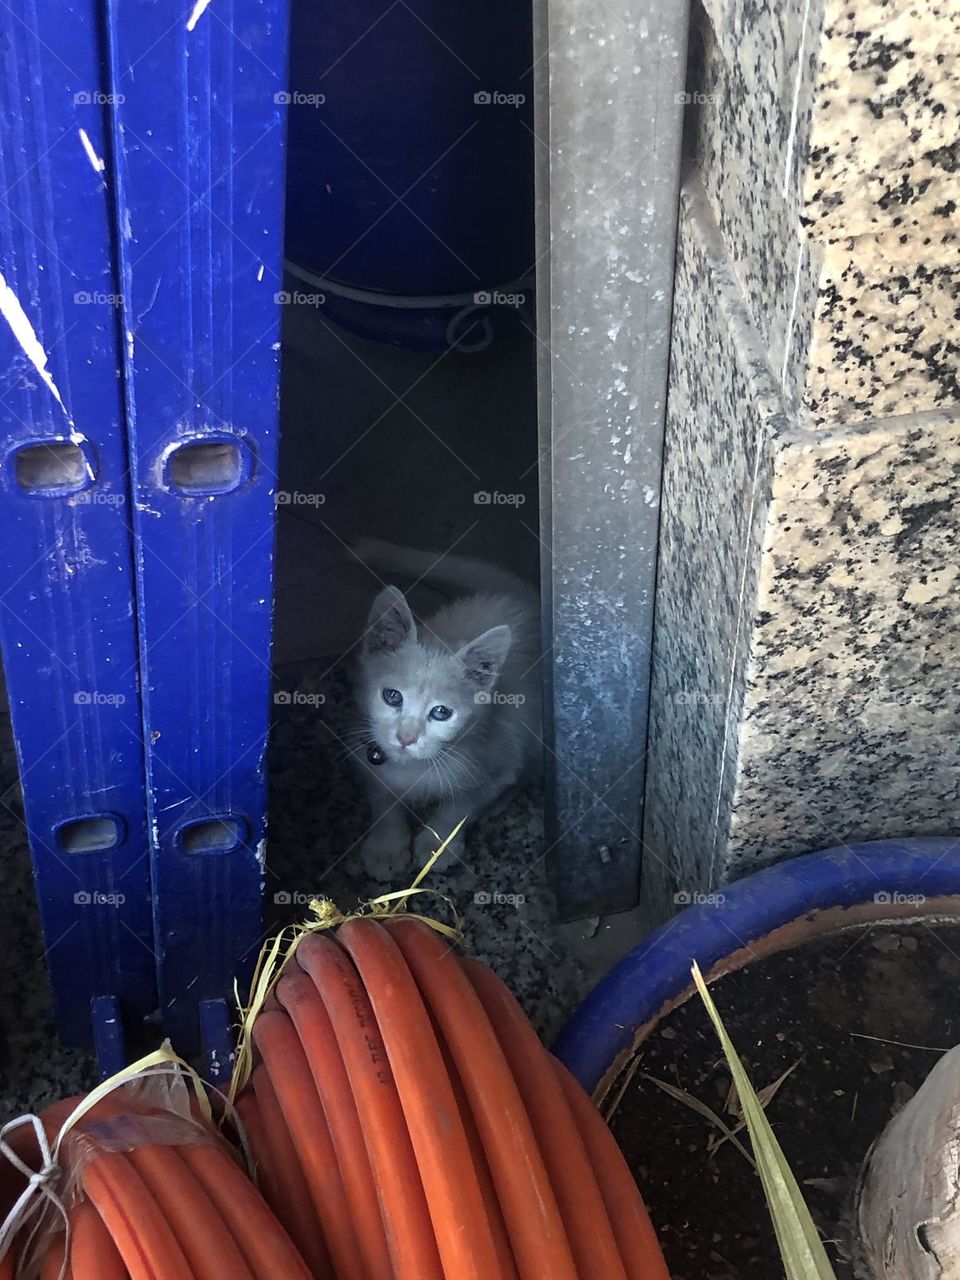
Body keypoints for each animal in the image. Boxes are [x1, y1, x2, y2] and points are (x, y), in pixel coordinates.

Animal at [353, 535, 545, 875]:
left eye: (441, 713)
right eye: (392, 696)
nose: (405, 738)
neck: (414, 767)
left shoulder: (497, 753)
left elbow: (461, 805)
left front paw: (437, 844)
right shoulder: (367, 750)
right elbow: (383, 795)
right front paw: (386, 847)